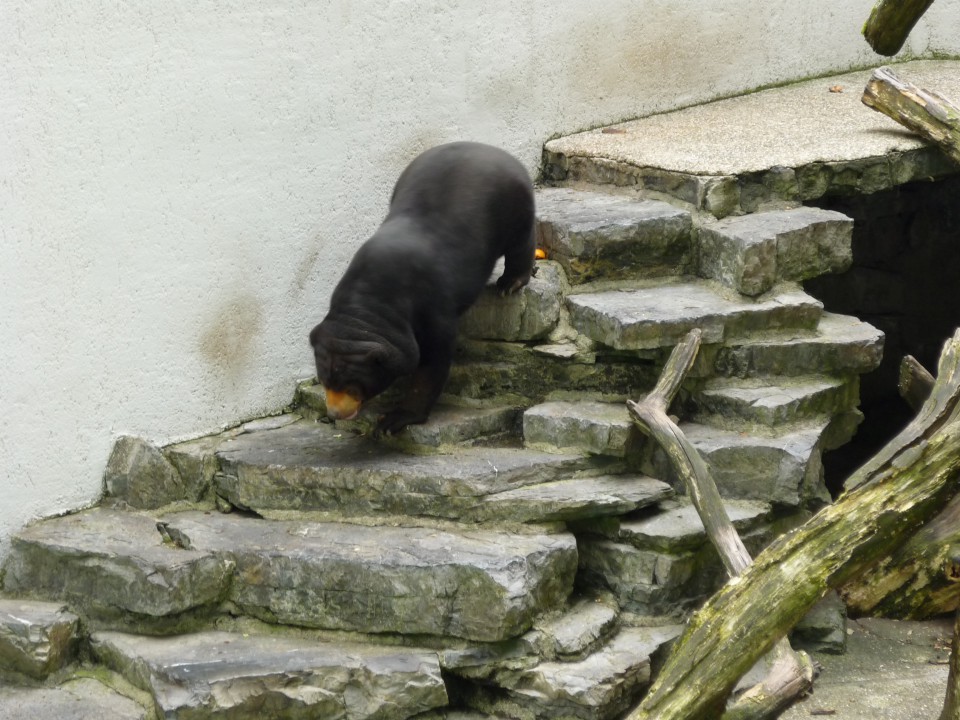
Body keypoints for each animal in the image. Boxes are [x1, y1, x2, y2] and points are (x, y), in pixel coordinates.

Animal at [310, 141, 532, 434]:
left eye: (352, 386)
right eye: (325, 380)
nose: (334, 413)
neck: (368, 305)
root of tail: (495, 150)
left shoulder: (433, 305)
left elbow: (432, 361)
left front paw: (394, 420)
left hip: (515, 205)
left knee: (521, 241)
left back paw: (510, 283)